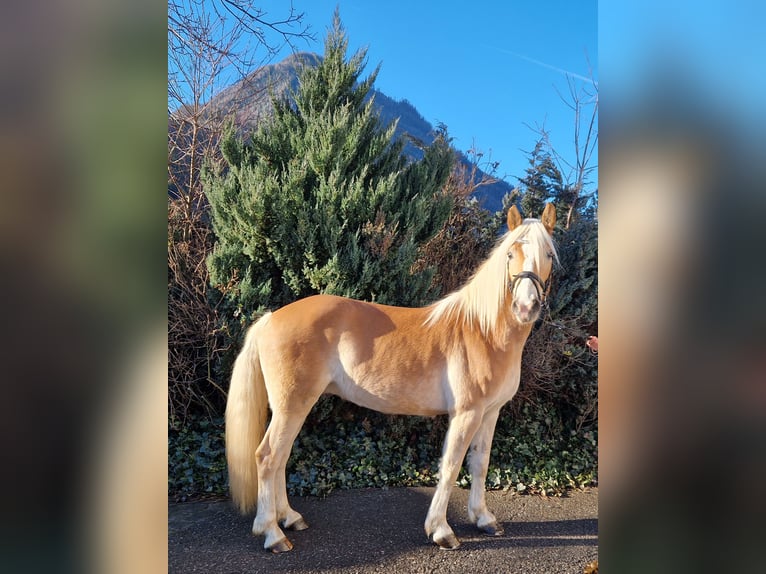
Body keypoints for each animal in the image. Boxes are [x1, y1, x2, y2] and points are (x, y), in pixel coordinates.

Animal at [226, 202, 560, 552]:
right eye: (511, 253)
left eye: (549, 255)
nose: (526, 307)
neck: (483, 331)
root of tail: (270, 318)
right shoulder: (466, 413)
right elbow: (451, 466)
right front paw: (441, 530)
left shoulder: (490, 412)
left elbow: (480, 464)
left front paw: (483, 519)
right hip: (292, 405)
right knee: (267, 457)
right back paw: (272, 532)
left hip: (293, 407)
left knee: (281, 458)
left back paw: (289, 518)